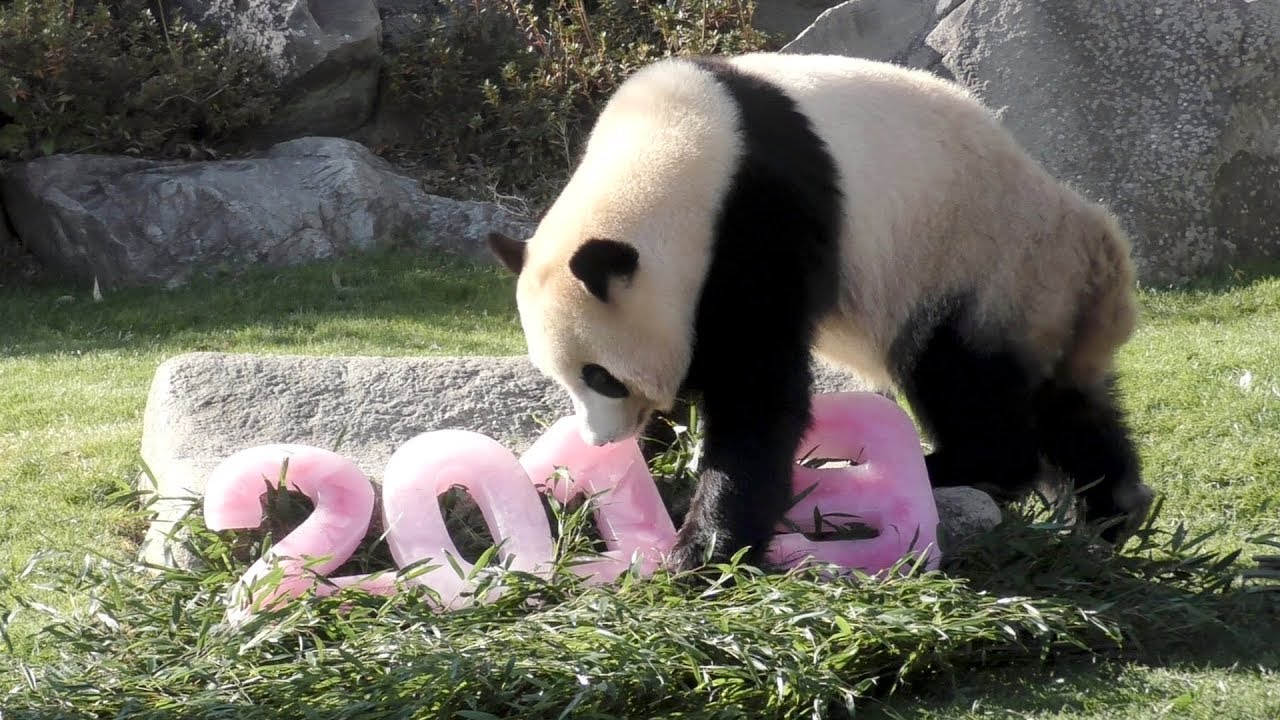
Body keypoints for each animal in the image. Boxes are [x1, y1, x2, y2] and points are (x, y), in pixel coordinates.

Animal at [487, 51, 1154, 572]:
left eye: (601, 376)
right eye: (560, 378)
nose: (600, 439)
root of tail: (1100, 250)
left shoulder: (761, 211)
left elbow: (758, 387)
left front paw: (702, 550)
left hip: (984, 264)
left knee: (961, 372)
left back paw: (960, 467)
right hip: (1038, 293)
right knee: (1065, 402)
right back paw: (1114, 509)